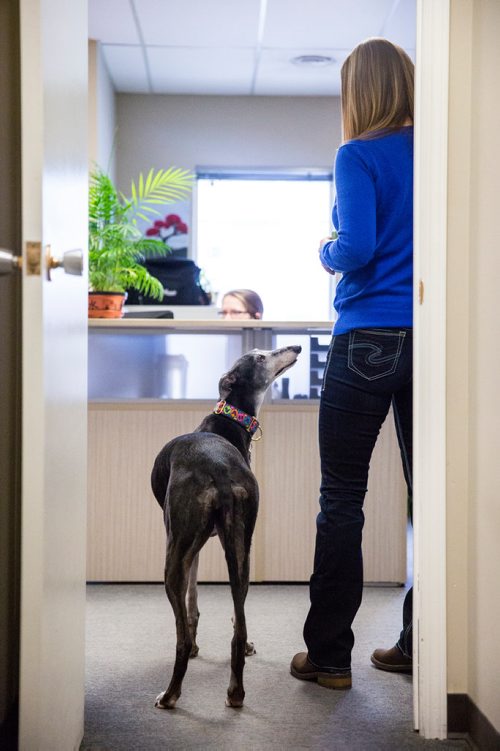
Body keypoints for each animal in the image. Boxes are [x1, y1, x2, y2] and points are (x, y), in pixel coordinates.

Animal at [151, 346, 300, 712]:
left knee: (179, 635)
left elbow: (190, 603)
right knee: (239, 622)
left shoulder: (183, 542)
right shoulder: (207, 543)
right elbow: (219, 608)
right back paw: (236, 689)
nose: (296, 348)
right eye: (260, 357)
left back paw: (171, 693)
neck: (227, 422)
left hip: (175, 554)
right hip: (241, 547)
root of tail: (218, 469)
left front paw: (193, 644)